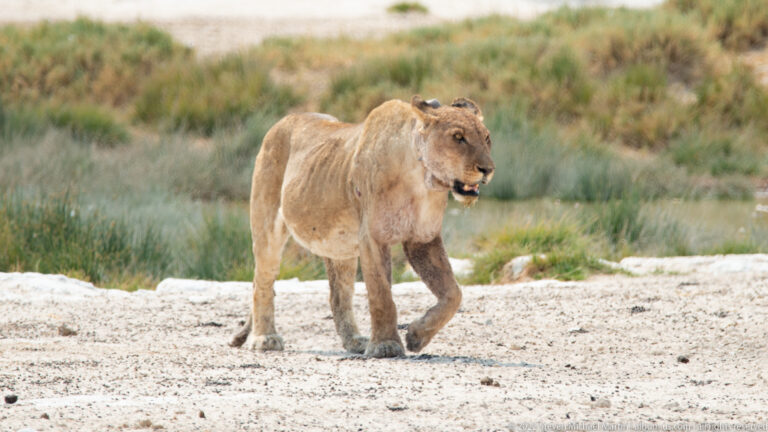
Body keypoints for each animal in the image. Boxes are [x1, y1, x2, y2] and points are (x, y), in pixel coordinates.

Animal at [229, 95, 495, 357]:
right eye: (458, 137)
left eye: (486, 138)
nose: (488, 170)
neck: (421, 180)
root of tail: (283, 121)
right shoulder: (373, 237)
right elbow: (381, 295)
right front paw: (386, 345)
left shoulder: (422, 239)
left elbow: (453, 294)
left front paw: (417, 336)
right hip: (268, 226)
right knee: (262, 282)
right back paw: (265, 338)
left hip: (340, 245)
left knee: (339, 295)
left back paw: (355, 341)